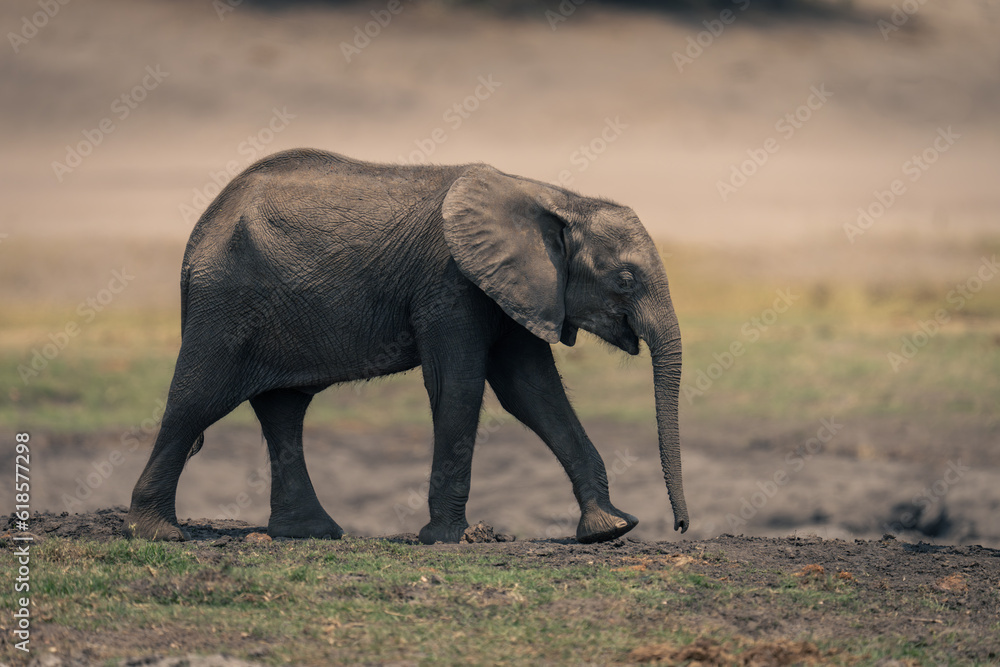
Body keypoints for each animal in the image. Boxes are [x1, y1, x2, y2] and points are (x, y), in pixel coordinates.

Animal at [125, 148, 688, 544]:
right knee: (197, 398)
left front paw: (611, 529)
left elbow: (532, 392)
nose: (681, 526)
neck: (558, 199)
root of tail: (198, 232)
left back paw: (311, 533)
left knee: (283, 409)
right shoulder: (450, 284)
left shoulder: (516, 288)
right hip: (226, 303)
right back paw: (159, 533)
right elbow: (459, 386)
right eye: (625, 280)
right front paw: (448, 539)